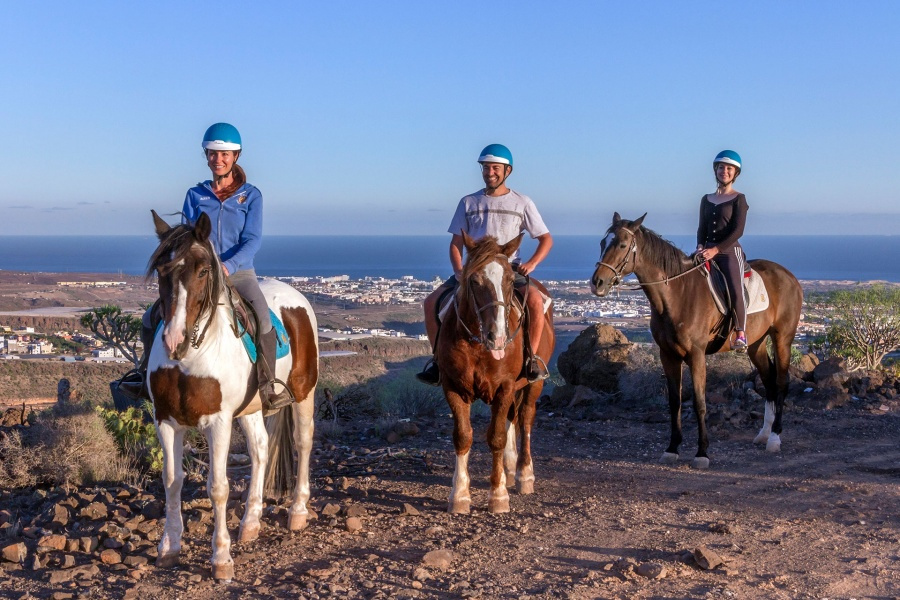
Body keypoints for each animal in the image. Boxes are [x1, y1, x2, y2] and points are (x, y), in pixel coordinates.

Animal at [146, 212, 318, 580]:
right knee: (261, 449)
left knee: (303, 442)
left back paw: (298, 511)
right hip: (251, 409)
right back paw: (251, 523)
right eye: (161, 271)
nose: (174, 340)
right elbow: (172, 481)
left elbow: (218, 487)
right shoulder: (166, 420)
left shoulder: (218, 422)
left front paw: (221, 558)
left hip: (304, 393)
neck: (191, 357)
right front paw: (169, 547)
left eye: (203, 271)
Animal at [438, 232, 556, 512]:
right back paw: (509, 469)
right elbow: (463, 436)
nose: (498, 336)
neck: (478, 343)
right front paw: (459, 495)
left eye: (510, 280)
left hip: (533, 384)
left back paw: (523, 474)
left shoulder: (504, 386)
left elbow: (497, 437)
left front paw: (498, 495)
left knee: (524, 418)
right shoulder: (453, 386)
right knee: (512, 418)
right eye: (474, 280)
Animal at [592, 212, 800, 468]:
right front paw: (672, 448)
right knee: (769, 380)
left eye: (622, 244)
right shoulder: (668, 355)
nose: (597, 283)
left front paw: (702, 453)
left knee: (780, 382)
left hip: (783, 339)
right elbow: (675, 402)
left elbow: (700, 403)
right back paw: (763, 433)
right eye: (602, 243)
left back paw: (775, 437)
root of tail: (788, 276)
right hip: (756, 344)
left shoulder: (697, 355)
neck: (677, 294)